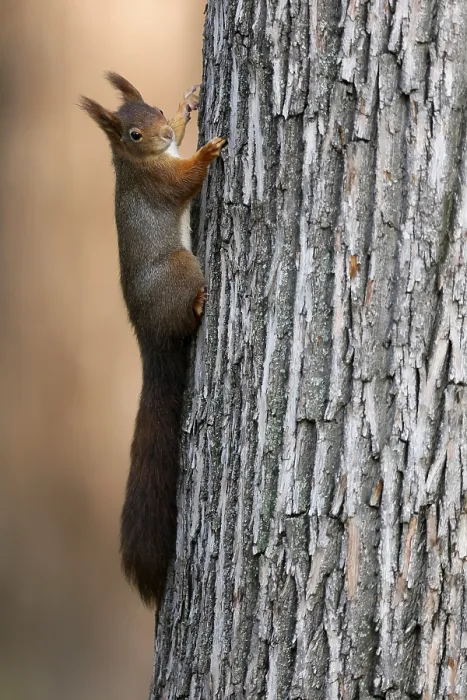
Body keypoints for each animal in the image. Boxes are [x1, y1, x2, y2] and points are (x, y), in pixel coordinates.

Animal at [80, 73, 225, 607]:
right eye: (133, 135)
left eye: (157, 111)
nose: (162, 133)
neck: (138, 162)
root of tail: (148, 337)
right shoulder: (158, 183)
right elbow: (184, 181)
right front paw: (207, 152)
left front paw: (189, 109)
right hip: (181, 269)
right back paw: (199, 303)